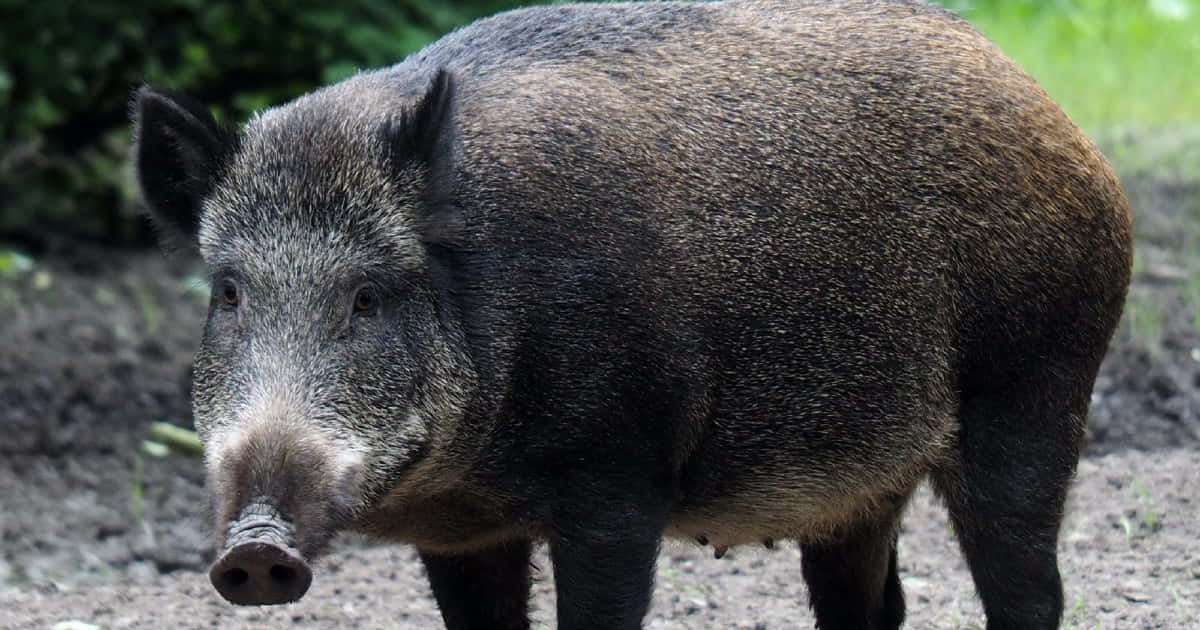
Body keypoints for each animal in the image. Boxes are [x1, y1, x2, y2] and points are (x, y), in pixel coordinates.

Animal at [131, 1, 1133, 628]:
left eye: (368, 296)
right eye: (229, 292)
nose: (255, 550)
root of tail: (1066, 131)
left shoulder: (617, 474)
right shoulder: (459, 533)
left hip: (1037, 384)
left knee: (1029, 592)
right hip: (861, 482)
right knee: (869, 605)